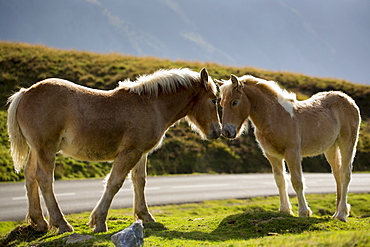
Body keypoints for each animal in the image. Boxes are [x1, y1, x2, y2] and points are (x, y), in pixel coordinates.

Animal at [7, 67, 220, 232]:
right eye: (214, 100)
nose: (217, 131)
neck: (151, 105)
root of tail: (25, 93)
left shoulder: (141, 153)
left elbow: (139, 181)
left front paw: (145, 216)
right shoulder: (130, 153)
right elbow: (114, 183)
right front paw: (99, 221)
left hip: (36, 150)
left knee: (30, 176)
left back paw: (39, 222)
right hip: (46, 149)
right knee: (44, 179)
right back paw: (61, 223)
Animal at [218, 75, 360, 222]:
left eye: (235, 102)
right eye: (221, 103)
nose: (227, 132)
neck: (275, 116)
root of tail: (349, 100)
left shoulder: (293, 154)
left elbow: (297, 181)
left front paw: (303, 212)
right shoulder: (272, 155)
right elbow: (280, 180)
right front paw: (285, 210)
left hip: (347, 143)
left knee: (345, 174)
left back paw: (342, 214)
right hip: (331, 147)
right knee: (337, 174)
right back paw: (337, 213)